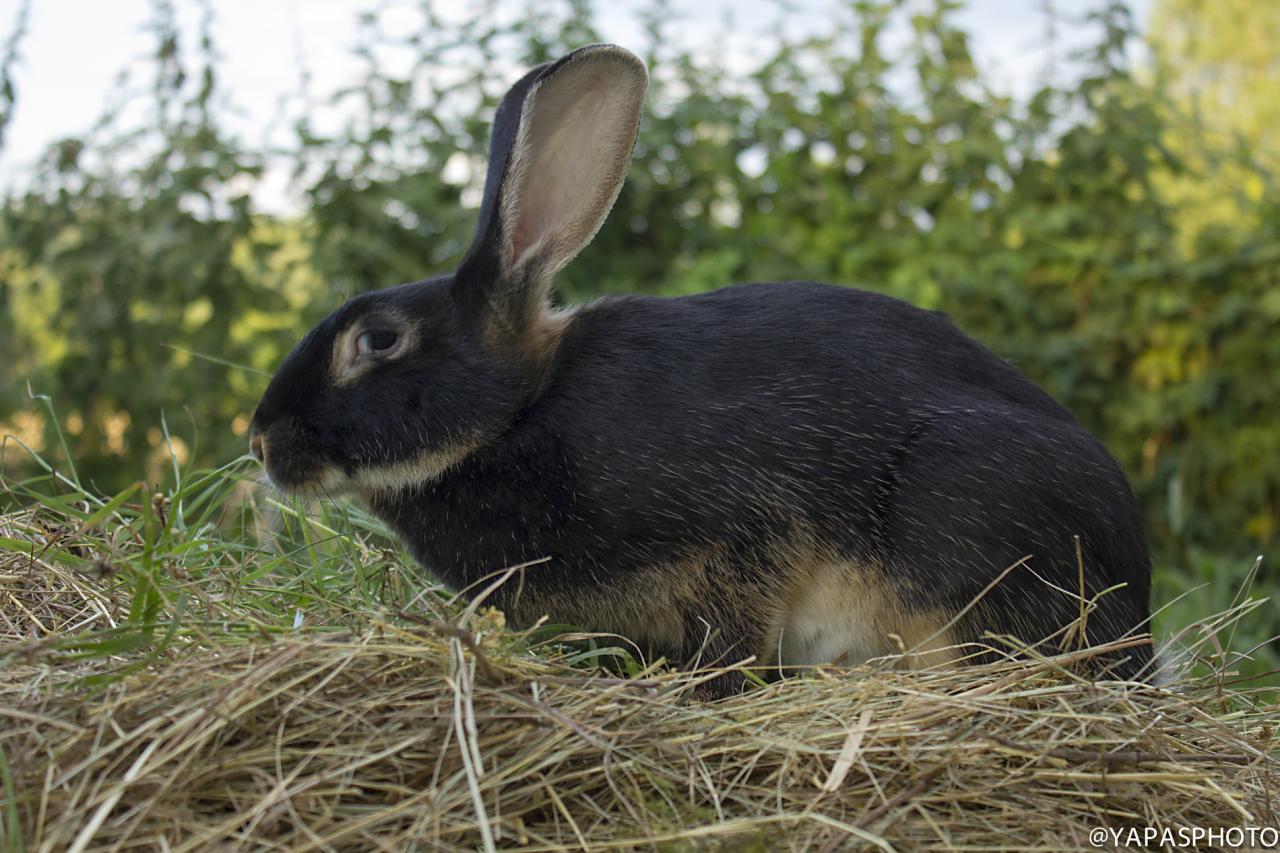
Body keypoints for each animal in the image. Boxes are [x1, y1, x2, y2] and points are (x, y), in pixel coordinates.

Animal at [247, 43, 1152, 696]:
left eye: (379, 340)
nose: (260, 441)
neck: (519, 411)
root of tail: (1136, 610)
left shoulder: (737, 539)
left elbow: (734, 633)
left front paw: (703, 689)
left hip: (962, 510)